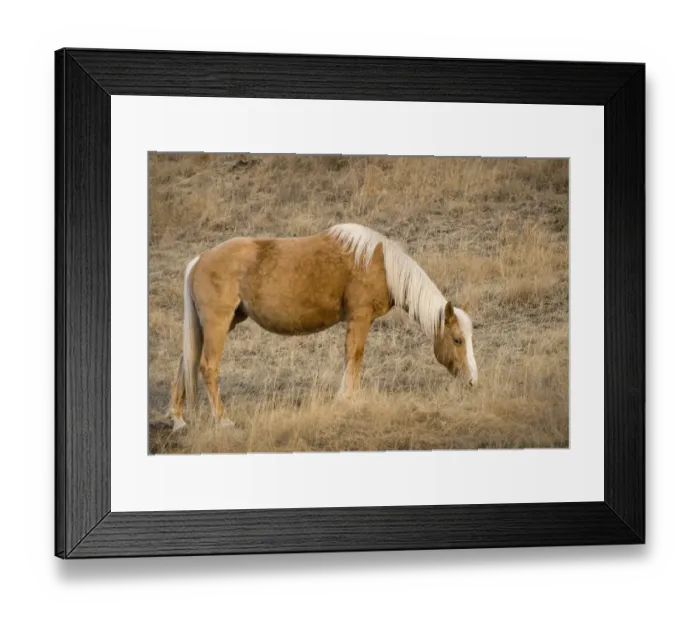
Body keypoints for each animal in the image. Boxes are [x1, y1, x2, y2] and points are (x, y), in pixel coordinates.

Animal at [168, 223, 479, 431]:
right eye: (457, 340)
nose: (473, 381)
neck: (380, 263)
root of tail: (200, 259)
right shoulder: (359, 318)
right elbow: (354, 356)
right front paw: (346, 399)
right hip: (218, 324)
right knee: (207, 366)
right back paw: (222, 420)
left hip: (219, 324)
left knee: (186, 361)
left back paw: (178, 419)